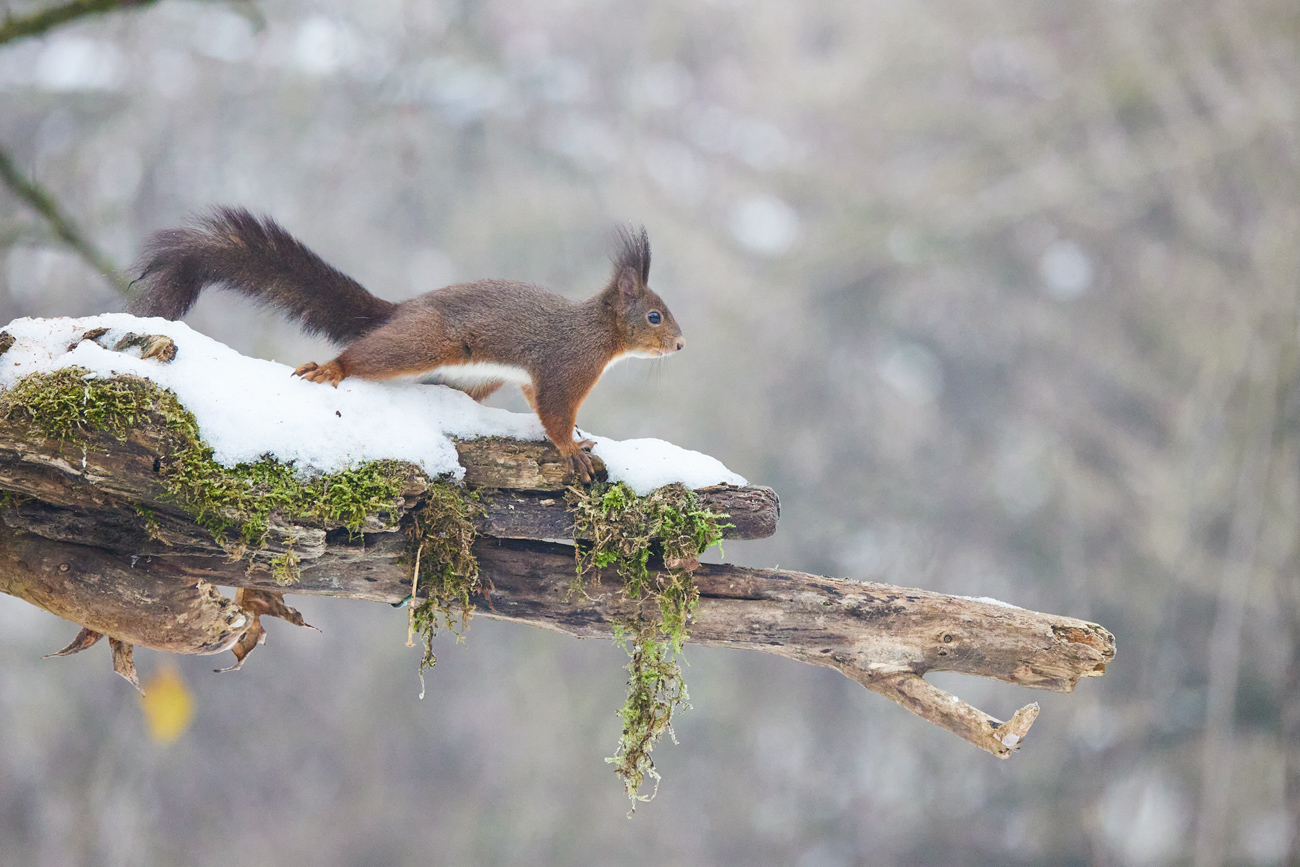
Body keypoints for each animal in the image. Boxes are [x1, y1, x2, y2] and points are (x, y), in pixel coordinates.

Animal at [127, 207, 685, 481]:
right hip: (426, 343)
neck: (599, 334)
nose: (680, 345)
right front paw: (572, 448)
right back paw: (331, 368)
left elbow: (536, 403)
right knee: (364, 356)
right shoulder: (565, 368)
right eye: (654, 316)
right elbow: (554, 413)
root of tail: (399, 311)